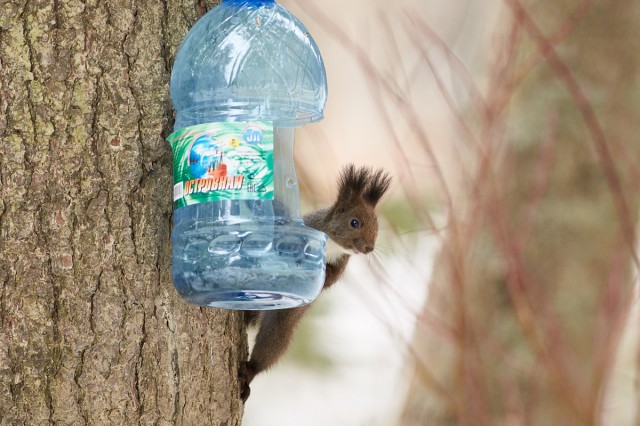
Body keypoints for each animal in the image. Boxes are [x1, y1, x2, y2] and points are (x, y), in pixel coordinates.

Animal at [239, 164, 392, 402]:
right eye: (354, 222)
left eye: (377, 224)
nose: (369, 248)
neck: (331, 244)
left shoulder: (341, 262)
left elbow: (329, 280)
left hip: (283, 321)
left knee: (271, 346)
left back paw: (250, 371)